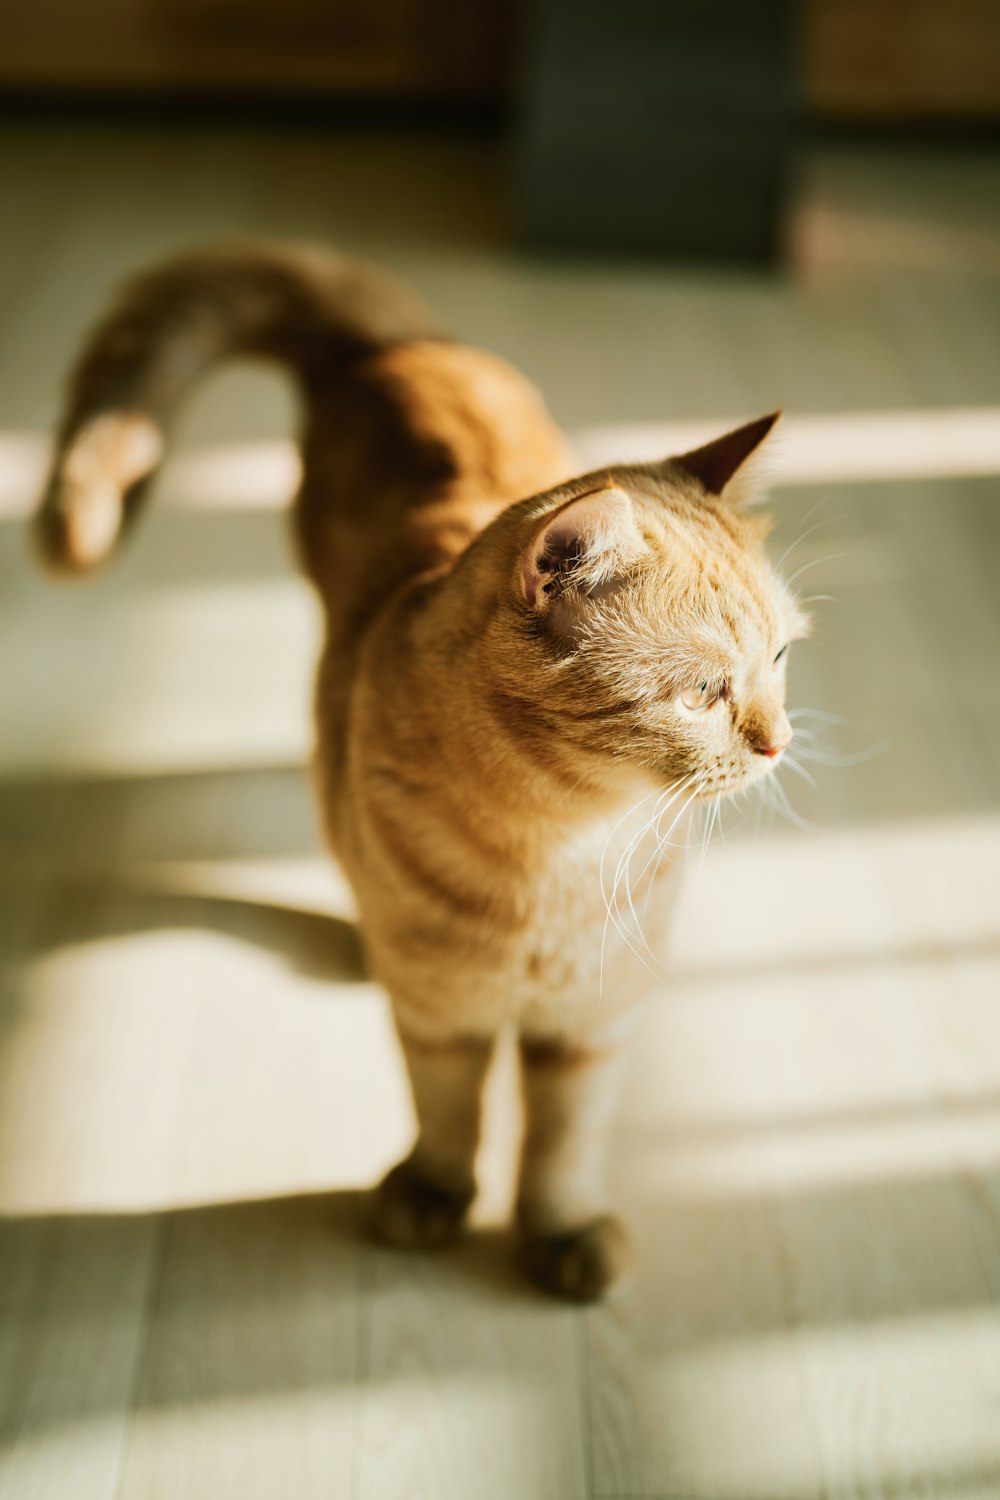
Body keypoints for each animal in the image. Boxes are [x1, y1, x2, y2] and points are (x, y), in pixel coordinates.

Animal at [35, 243, 809, 1302]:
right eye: (699, 693)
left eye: (780, 659)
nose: (778, 741)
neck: (560, 849)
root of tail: (401, 343)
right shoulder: (441, 1017)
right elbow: (446, 1111)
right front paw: (434, 1198)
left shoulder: (594, 1021)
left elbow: (564, 1142)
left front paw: (563, 1232)